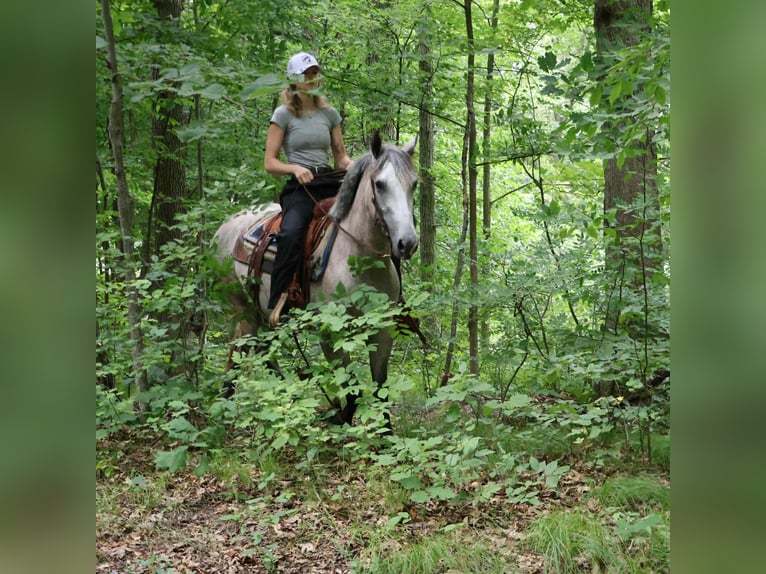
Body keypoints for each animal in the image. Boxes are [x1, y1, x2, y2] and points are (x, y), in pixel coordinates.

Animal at [213, 132, 419, 426]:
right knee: (238, 351)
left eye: (414, 184)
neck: (358, 258)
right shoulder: (331, 333)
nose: (407, 243)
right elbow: (352, 392)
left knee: (262, 349)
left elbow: (380, 390)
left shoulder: (382, 330)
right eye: (380, 184)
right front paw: (339, 419)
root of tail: (225, 227)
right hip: (243, 309)